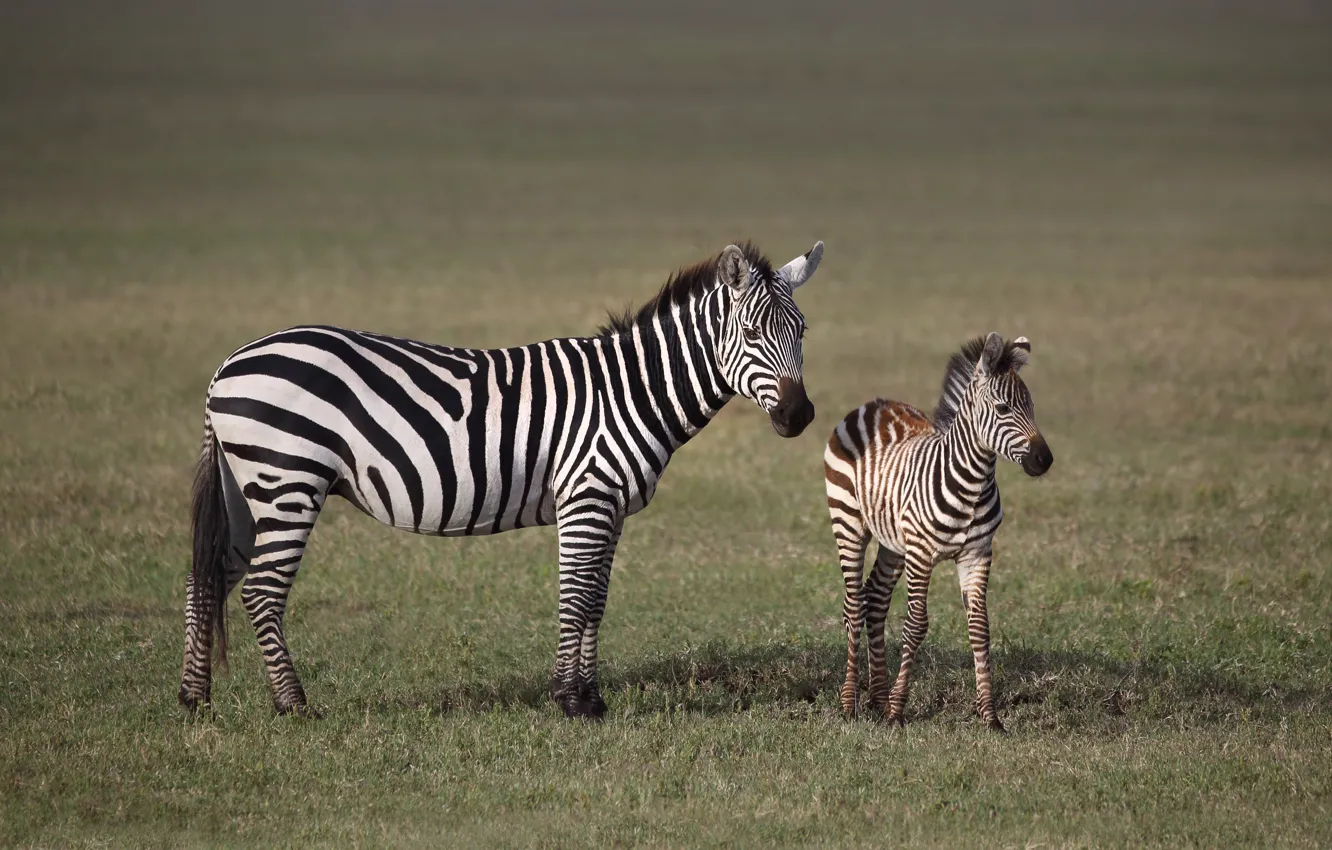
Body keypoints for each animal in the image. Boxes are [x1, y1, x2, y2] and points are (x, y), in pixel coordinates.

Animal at [179, 241, 824, 720]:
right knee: (262, 591)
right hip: (288, 480)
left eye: (802, 332)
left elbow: (597, 602)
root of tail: (226, 366)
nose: (800, 417)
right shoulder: (586, 494)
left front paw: (592, 698)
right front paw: (569, 701)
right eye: (751, 334)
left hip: (247, 491)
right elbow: (576, 597)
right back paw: (294, 705)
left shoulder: (610, 504)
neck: (631, 391)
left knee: (204, 578)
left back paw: (193, 700)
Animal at [823, 333, 1053, 731]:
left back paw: (877, 698)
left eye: (1031, 406)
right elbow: (916, 625)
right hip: (849, 522)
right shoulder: (921, 552)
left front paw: (990, 716)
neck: (972, 482)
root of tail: (875, 404)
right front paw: (898, 712)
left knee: (875, 599)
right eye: (1003, 408)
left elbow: (980, 628)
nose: (1045, 460)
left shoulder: (977, 554)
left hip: (892, 542)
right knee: (853, 604)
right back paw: (850, 702)